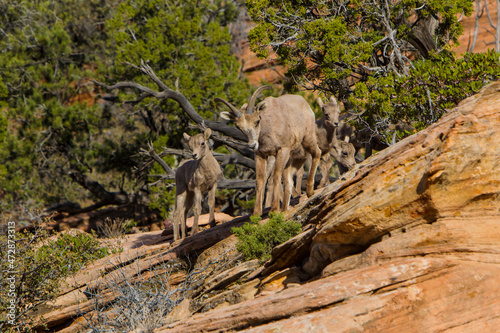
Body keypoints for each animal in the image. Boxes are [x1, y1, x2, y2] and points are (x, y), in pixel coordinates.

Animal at [215, 85, 320, 215]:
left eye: (257, 121)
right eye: (238, 127)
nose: (252, 145)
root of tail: (305, 104)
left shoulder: (282, 151)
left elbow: (275, 177)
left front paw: (274, 210)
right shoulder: (260, 155)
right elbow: (260, 180)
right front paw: (256, 213)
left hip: (307, 139)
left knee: (317, 153)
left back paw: (310, 191)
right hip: (290, 158)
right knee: (289, 181)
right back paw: (284, 209)